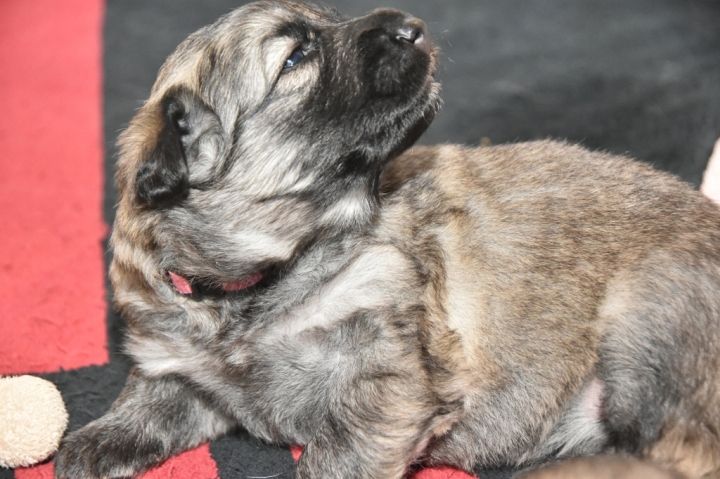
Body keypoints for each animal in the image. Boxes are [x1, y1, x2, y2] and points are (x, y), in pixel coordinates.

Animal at [54, 1, 720, 478]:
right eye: (295, 57)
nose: (412, 26)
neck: (259, 286)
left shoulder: (387, 382)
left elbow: (336, 459)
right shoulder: (185, 369)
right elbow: (151, 400)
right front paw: (91, 444)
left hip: (649, 318)